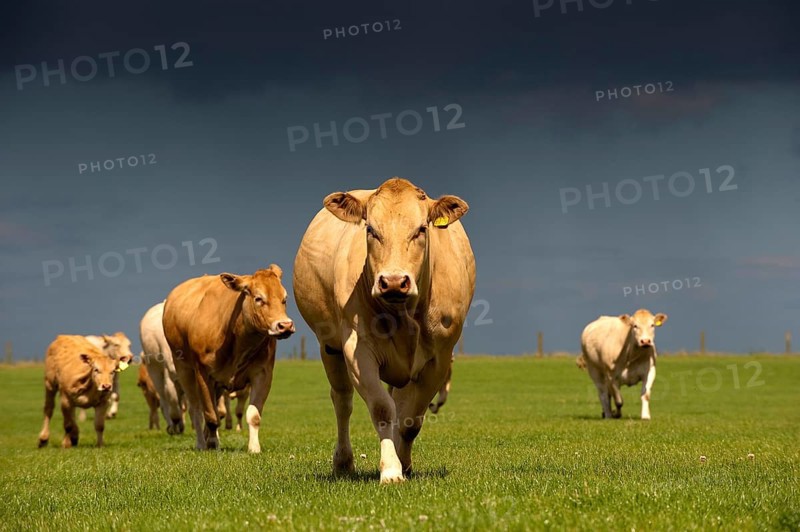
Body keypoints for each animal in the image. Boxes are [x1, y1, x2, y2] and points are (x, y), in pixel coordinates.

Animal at [162, 265, 295, 452]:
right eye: (258, 298)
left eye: (285, 298)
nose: (285, 326)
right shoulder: (202, 373)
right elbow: (210, 415)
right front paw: (212, 443)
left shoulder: (263, 374)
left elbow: (253, 415)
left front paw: (254, 448)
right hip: (184, 369)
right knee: (196, 409)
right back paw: (201, 443)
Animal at [293, 177, 476, 483]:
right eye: (370, 230)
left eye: (421, 229)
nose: (393, 281)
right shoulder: (358, 350)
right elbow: (381, 409)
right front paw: (391, 469)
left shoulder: (439, 358)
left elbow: (410, 420)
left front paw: (404, 462)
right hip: (328, 346)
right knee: (342, 401)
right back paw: (343, 462)